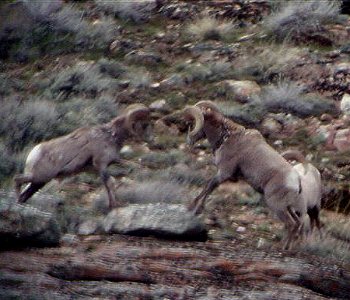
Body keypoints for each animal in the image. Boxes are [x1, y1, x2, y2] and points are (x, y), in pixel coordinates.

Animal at [14, 103, 152, 209]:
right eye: (144, 124)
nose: (149, 138)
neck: (110, 137)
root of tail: (33, 153)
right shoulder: (101, 164)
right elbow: (110, 183)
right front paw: (114, 205)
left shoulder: (95, 169)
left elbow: (109, 183)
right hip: (40, 177)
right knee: (17, 179)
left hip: (39, 182)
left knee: (25, 194)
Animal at [183, 101, 306, 248]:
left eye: (191, 123)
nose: (189, 140)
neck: (226, 138)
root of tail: (297, 181)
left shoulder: (223, 174)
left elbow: (208, 187)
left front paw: (194, 209)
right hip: (288, 207)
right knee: (297, 223)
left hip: (277, 205)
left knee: (291, 224)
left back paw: (281, 248)